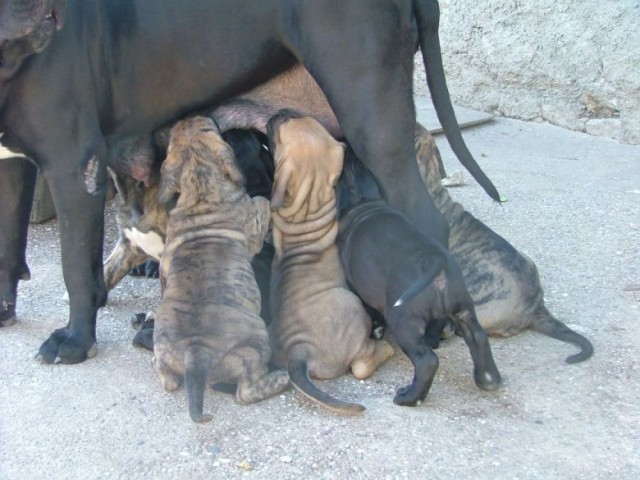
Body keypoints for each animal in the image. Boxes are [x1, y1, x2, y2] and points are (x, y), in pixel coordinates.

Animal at [0, 0, 500, 364]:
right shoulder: (13, 167)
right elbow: (9, 247)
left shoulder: (72, 167)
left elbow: (75, 267)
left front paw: (75, 340)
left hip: (373, 121)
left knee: (428, 223)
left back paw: (425, 328)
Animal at [152, 117, 288, 424]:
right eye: (210, 127)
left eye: (178, 134)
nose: (188, 116)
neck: (200, 188)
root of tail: (196, 353)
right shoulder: (253, 225)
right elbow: (261, 202)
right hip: (256, 344)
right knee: (246, 392)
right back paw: (280, 379)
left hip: (164, 347)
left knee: (168, 379)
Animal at [266, 110, 396, 414]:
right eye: (281, 130)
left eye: (287, 122)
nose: (279, 112)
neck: (309, 204)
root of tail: (297, 353)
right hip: (353, 307)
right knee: (362, 364)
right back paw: (386, 347)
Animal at [336, 150, 500, 404]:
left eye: (344, 171)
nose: (348, 150)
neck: (366, 204)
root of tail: (436, 264)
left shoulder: (358, 287)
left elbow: (370, 310)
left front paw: (376, 329)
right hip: (463, 309)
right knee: (479, 337)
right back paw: (488, 379)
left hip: (404, 322)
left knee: (427, 361)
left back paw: (409, 397)